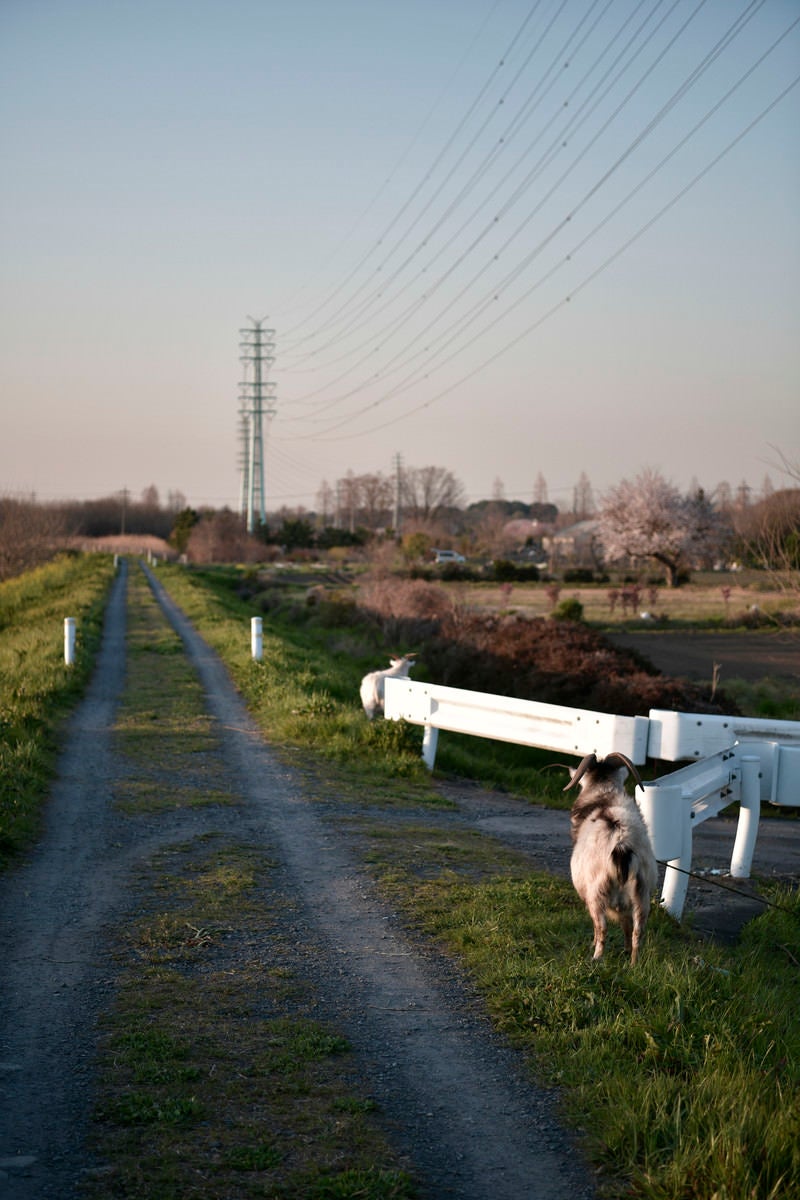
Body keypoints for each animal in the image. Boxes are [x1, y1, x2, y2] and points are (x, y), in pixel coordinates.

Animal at [563, 748, 657, 964]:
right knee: (637, 930)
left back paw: (596, 958)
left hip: (597, 894)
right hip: (641, 895)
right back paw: (633, 963)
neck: (604, 797)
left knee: (602, 928)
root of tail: (621, 846)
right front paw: (625, 949)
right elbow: (626, 926)